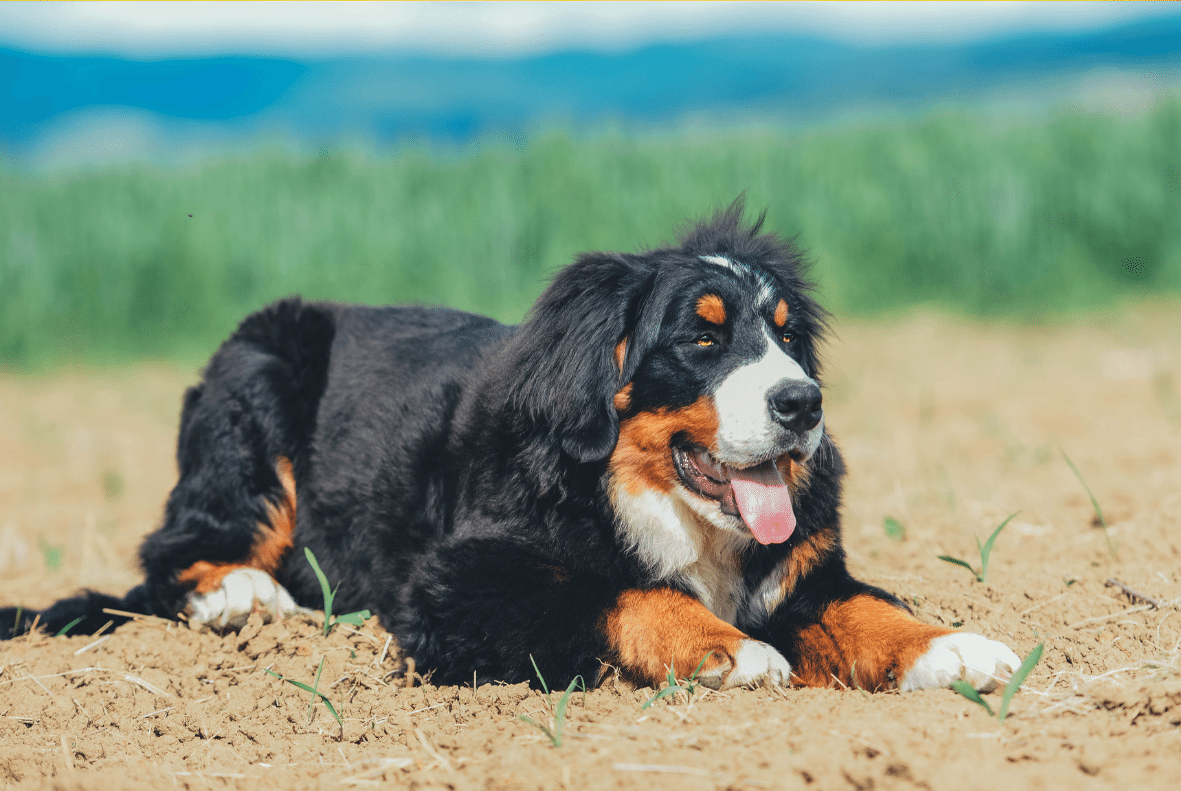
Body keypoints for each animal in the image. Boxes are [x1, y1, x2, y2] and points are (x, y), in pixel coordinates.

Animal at [0, 204, 1020, 694]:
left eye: (786, 338)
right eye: (699, 338)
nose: (802, 403)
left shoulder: (803, 575)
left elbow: (865, 609)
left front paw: (956, 650)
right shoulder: (456, 582)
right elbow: (617, 589)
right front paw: (727, 651)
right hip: (255, 380)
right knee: (175, 550)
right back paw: (244, 598)